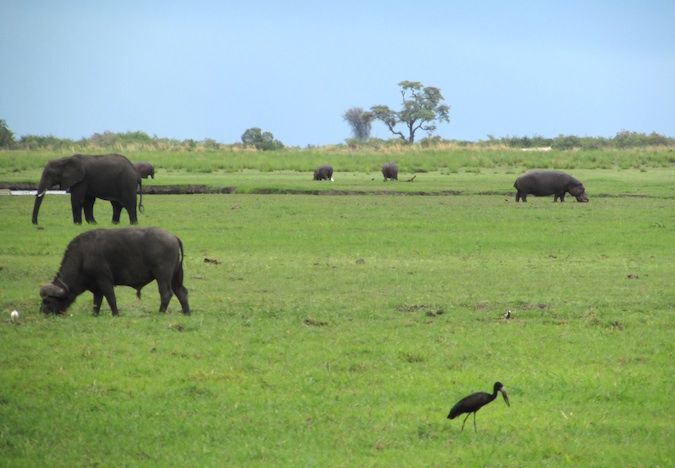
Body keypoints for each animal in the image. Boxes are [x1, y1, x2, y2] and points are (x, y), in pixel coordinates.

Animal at [39, 227, 190, 314]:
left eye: (48, 301)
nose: (42, 312)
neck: (82, 256)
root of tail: (173, 237)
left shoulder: (104, 281)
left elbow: (111, 298)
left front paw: (115, 314)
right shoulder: (96, 288)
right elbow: (97, 302)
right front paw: (95, 314)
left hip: (162, 275)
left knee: (166, 293)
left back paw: (161, 312)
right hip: (176, 276)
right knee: (181, 292)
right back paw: (186, 312)